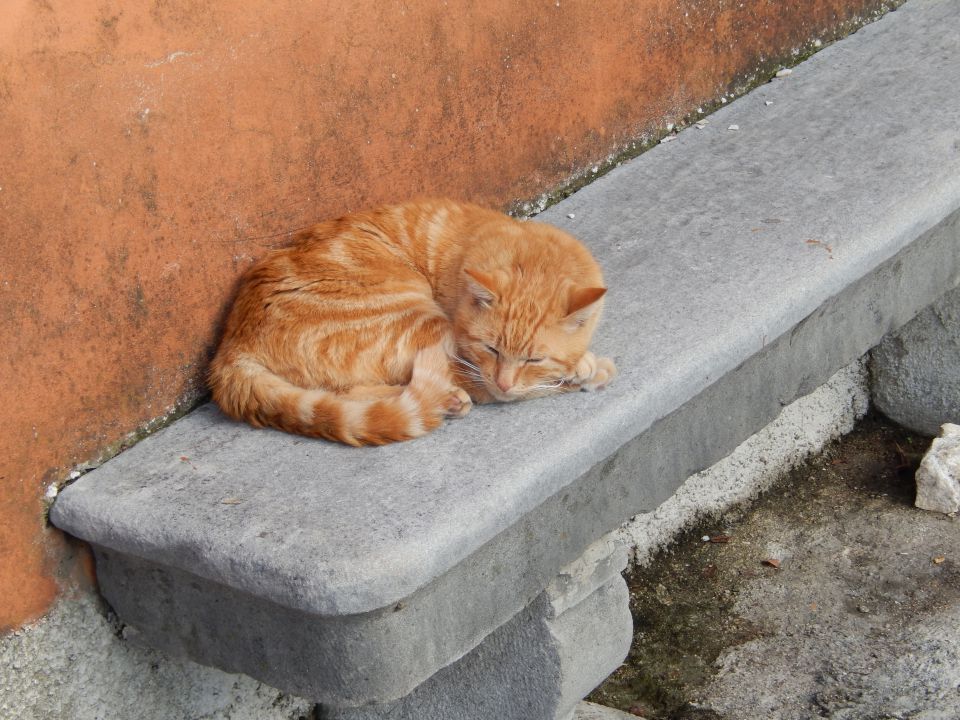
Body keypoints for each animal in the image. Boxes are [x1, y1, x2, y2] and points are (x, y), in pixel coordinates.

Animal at [209, 198, 616, 444]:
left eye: (533, 358)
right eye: (491, 349)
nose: (504, 381)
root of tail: (231, 348)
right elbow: (504, 386)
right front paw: (583, 369)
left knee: (346, 393)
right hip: (416, 314)